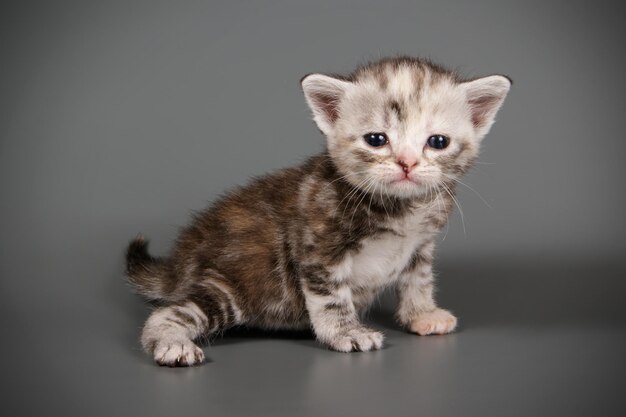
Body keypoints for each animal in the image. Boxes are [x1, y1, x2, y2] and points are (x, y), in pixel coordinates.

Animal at [124, 57, 510, 366]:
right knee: (169, 312)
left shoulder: (421, 243)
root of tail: (181, 260)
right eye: (376, 139)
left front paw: (423, 314)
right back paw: (173, 344)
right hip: (231, 286)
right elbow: (331, 298)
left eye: (438, 142)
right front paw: (346, 333)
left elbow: (419, 279)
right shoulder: (317, 247)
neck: (400, 209)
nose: (407, 163)